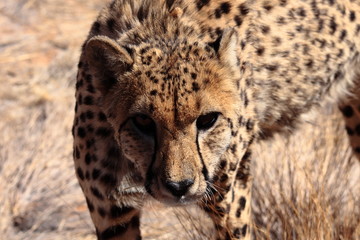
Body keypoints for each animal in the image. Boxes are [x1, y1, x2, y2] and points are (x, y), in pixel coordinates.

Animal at [73, 0, 360, 239]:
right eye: (142, 121)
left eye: (208, 120)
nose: (179, 186)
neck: (166, 27)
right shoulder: (110, 211)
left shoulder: (231, 199)